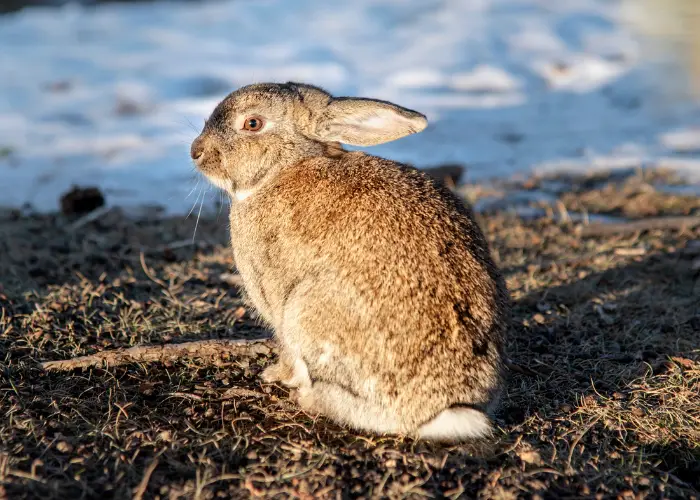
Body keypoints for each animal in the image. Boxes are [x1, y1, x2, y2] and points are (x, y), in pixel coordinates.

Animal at [190, 83, 508, 442]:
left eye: (253, 123)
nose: (196, 151)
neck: (282, 169)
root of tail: (442, 410)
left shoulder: (275, 302)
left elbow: (286, 352)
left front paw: (274, 373)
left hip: (305, 312)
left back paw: (308, 398)